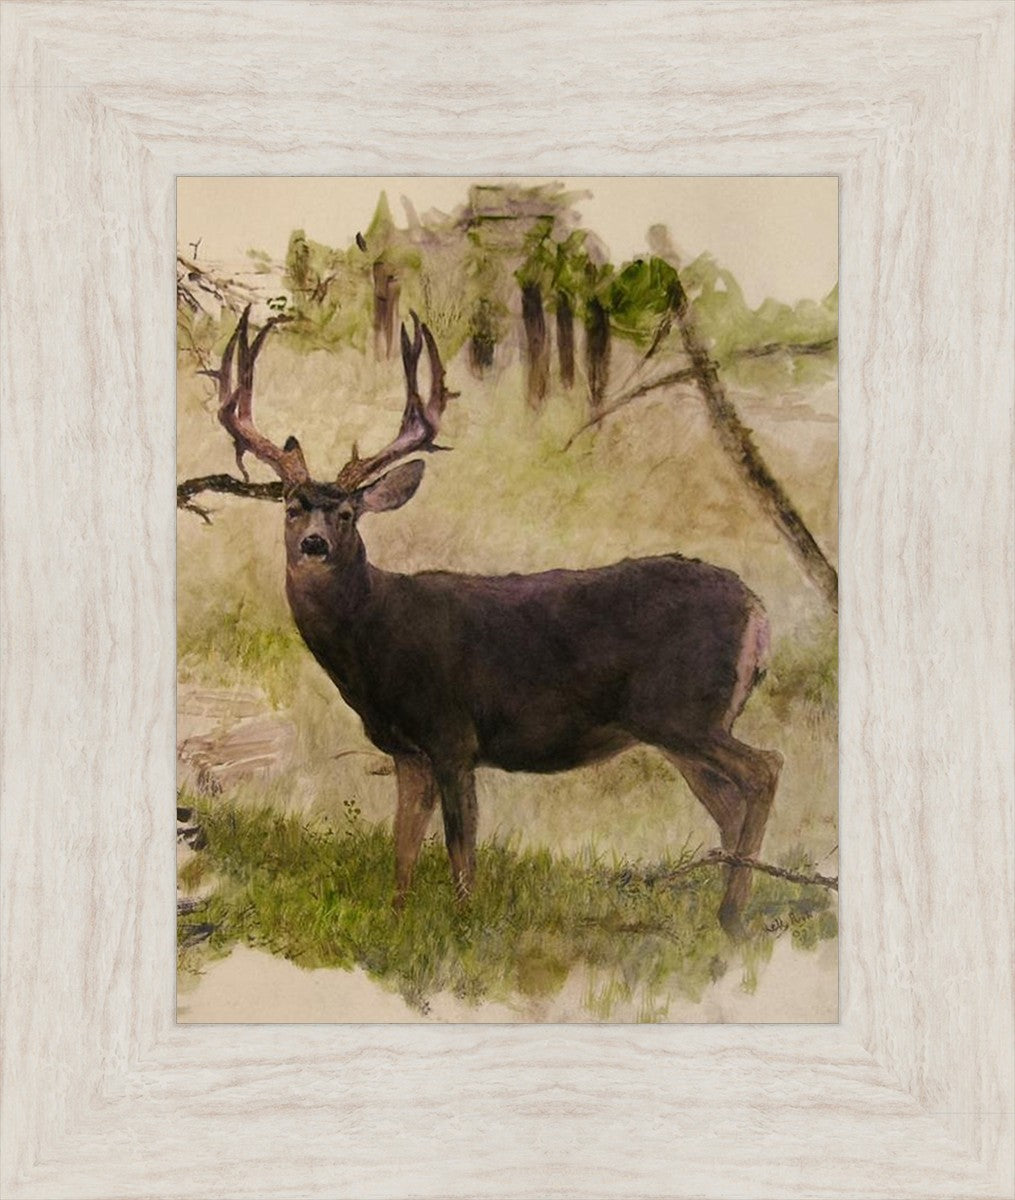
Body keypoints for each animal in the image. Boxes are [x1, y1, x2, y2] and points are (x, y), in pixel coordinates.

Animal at [204, 305, 782, 937]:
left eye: (348, 513)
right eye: (292, 507)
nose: (314, 544)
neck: (376, 640)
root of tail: (758, 610)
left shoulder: (453, 733)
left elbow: (462, 852)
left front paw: (461, 926)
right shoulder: (408, 752)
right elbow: (403, 849)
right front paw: (398, 921)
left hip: (683, 709)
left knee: (765, 769)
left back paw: (733, 913)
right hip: (676, 725)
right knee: (729, 803)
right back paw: (726, 915)